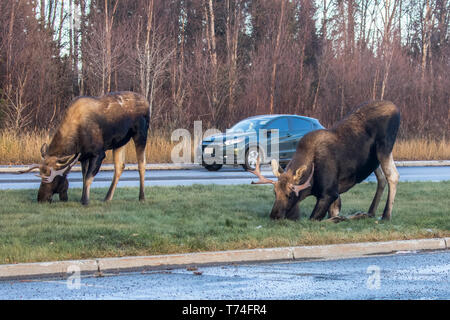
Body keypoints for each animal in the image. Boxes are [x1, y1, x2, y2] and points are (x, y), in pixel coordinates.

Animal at [18, 91, 149, 205]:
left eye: (53, 178)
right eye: (41, 173)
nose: (41, 198)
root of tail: (147, 101)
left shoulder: (98, 153)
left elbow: (88, 178)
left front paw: (85, 201)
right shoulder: (83, 156)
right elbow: (84, 177)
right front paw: (82, 198)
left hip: (141, 133)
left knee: (141, 164)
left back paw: (142, 197)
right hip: (119, 142)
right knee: (120, 166)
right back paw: (107, 198)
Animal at [250, 101, 400, 221]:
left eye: (289, 195)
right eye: (274, 193)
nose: (274, 216)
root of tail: (396, 108)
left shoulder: (330, 193)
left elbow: (314, 219)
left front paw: (346, 217)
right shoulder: (334, 194)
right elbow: (333, 212)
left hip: (384, 147)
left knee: (392, 175)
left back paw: (385, 215)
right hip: (374, 159)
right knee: (381, 178)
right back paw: (370, 212)